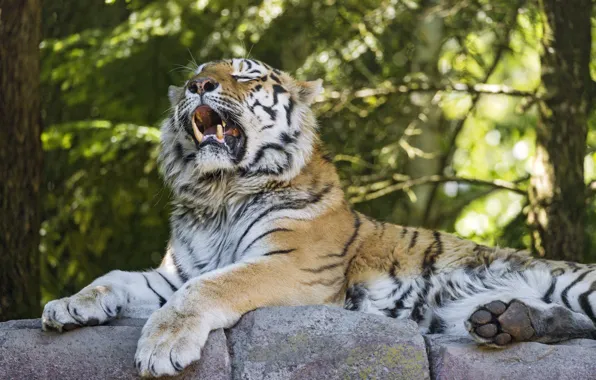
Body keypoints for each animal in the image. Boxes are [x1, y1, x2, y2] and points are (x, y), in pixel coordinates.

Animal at [42, 58, 596, 376]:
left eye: (244, 74)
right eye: (194, 75)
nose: (197, 85)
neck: (219, 193)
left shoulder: (292, 265)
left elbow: (207, 290)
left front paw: (162, 345)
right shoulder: (175, 271)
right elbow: (116, 277)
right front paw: (68, 306)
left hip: (575, 282)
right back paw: (507, 321)